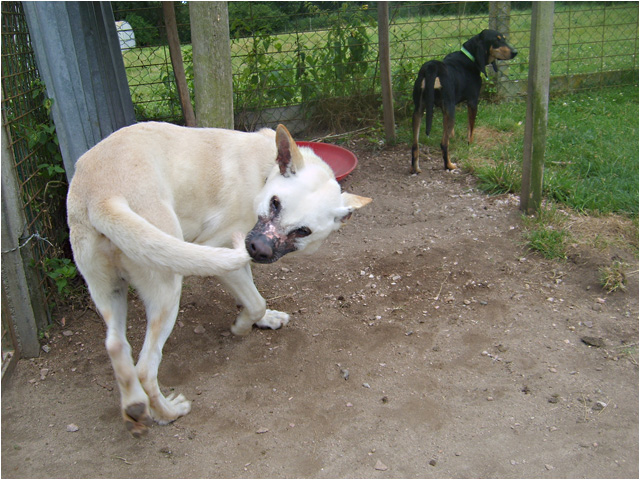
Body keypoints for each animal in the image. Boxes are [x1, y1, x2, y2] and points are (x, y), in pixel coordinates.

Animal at [66, 123, 370, 436]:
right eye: (275, 203)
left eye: (303, 231)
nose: (258, 249)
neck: (263, 172)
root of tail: (103, 196)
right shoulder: (223, 255)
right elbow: (256, 301)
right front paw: (242, 327)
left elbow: (253, 298)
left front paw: (264, 320)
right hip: (168, 288)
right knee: (145, 369)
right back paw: (168, 413)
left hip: (109, 290)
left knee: (116, 346)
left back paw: (134, 407)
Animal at [410, 30, 520, 173]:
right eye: (497, 40)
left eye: (504, 39)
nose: (515, 52)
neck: (469, 58)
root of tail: (432, 67)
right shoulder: (472, 102)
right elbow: (470, 129)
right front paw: (470, 144)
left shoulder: (446, 108)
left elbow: (449, 131)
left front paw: (453, 138)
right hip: (449, 109)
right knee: (443, 144)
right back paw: (449, 165)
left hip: (418, 110)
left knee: (415, 145)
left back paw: (415, 168)